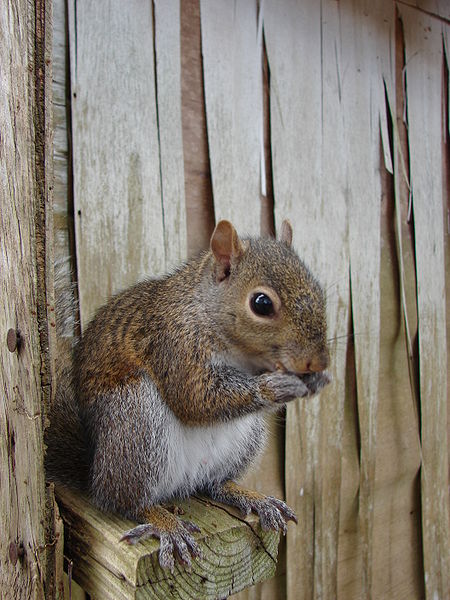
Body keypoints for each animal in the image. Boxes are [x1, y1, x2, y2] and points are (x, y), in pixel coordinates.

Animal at [44, 220, 330, 572]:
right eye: (261, 303)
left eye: (319, 290)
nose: (318, 361)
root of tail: (94, 469)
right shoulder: (174, 345)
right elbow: (193, 398)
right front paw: (273, 387)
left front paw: (316, 380)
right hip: (135, 421)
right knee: (121, 500)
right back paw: (164, 523)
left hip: (245, 439)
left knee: (214, 483)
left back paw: (249, 496)